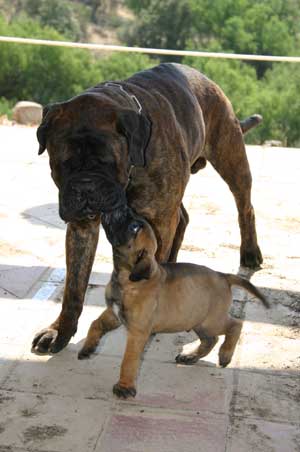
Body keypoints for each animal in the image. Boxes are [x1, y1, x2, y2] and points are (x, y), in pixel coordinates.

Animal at [32, 62, 262, 354]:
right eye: (63, 164)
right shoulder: (81, 227)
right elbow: (74, 286)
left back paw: (250, 253)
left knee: (245, 207)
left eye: (107, 162)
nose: (85, 186)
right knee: (183, 218)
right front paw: (60, 331)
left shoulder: (160, 220)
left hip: (232, 160)